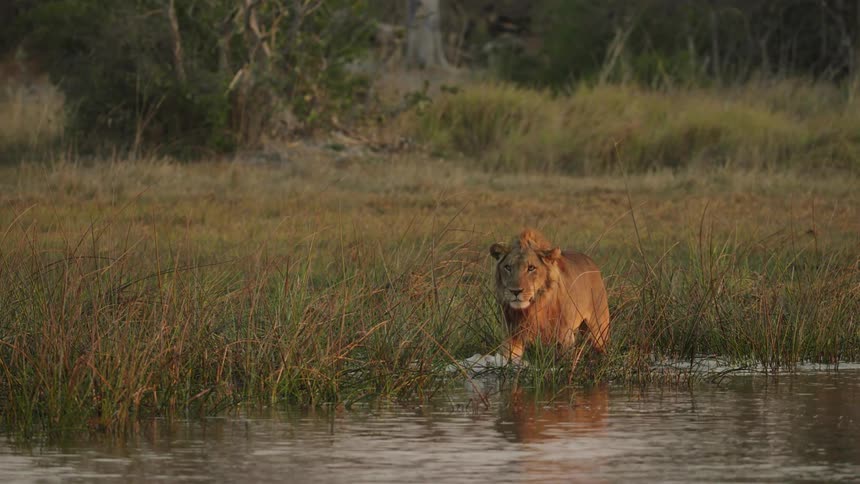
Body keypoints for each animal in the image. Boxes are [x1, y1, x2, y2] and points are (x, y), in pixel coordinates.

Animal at [489, 228, 610, 361]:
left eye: (531, 268)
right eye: (508, 267)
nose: (515, 291)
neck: (533, 307)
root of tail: (591, 262)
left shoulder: (564, 336)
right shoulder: (511, 335)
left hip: (598, 329)